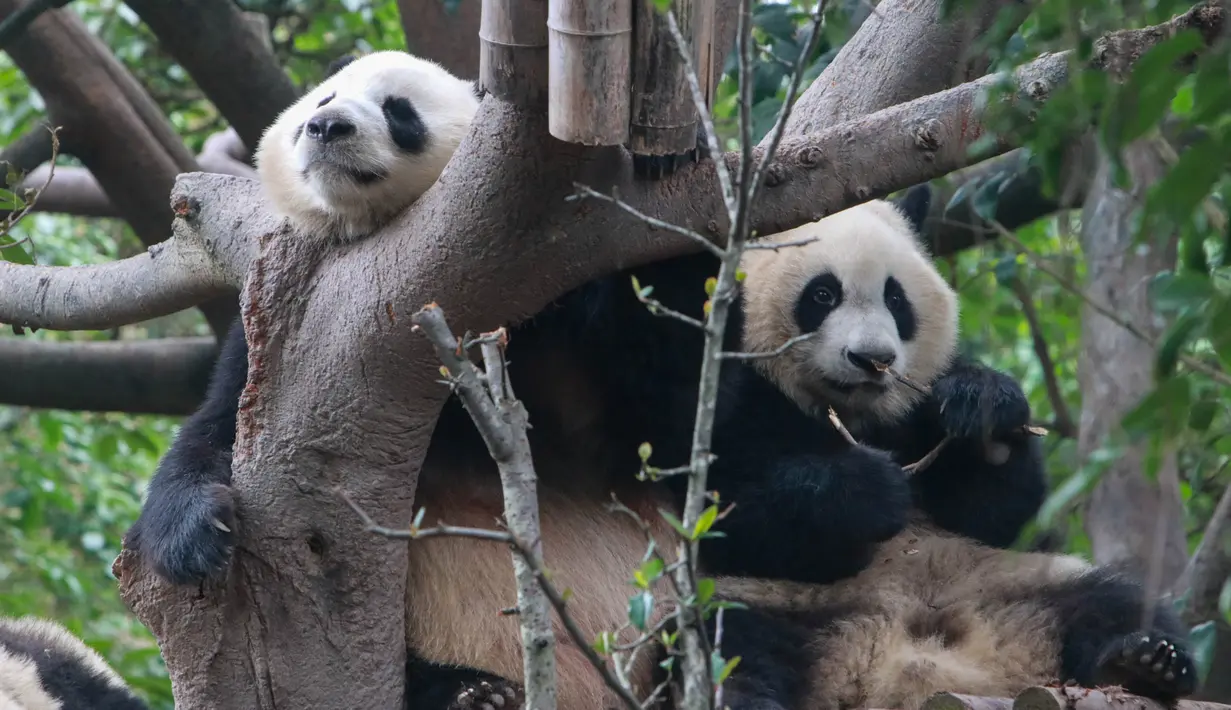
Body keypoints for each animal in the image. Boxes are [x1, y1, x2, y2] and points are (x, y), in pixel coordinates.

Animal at [126, 47, 689, 703]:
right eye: (325, 98)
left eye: (400, 111)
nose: (327, 126)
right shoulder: (285, 331)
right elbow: (213, 430)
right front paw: (197, 532)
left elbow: (662, 399)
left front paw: (662, 154)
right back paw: (472, 693)